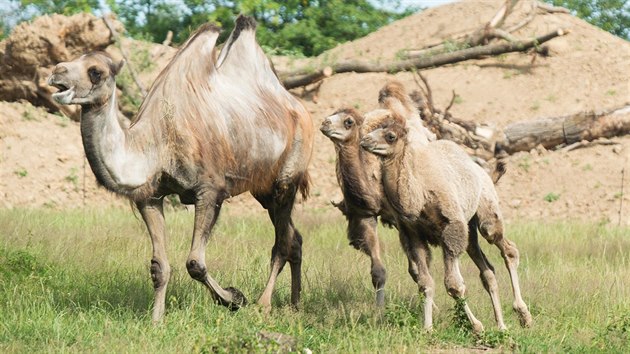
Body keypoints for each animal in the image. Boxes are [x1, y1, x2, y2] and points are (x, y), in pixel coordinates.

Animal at [48, 16, 314, 322]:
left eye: (95, 72)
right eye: (74, 58)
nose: (56, 72)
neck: (158, 143)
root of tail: (299, 108)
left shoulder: (209, 190)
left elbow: (195, 263)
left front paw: (234, 298)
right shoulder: (150, 197)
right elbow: (159, 266)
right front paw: (156, 320)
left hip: (288, 176)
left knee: (281, 242)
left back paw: (264, 304)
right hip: (263, 189)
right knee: (294, 239)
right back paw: (296, 304)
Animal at [360, 112, 532, 332]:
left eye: (390, 136)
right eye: (373, 129)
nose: (365, 141)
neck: (419, 195)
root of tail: (484, 173)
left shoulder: (451, 229)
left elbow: (454, 285)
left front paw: (476, 327)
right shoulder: (413, 235)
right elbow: (425, 283)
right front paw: (427, 328)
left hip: (486, 215)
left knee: (507, 248)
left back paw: (523, 315)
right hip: (470, 228)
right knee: (487, 270)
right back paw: (502, 325)